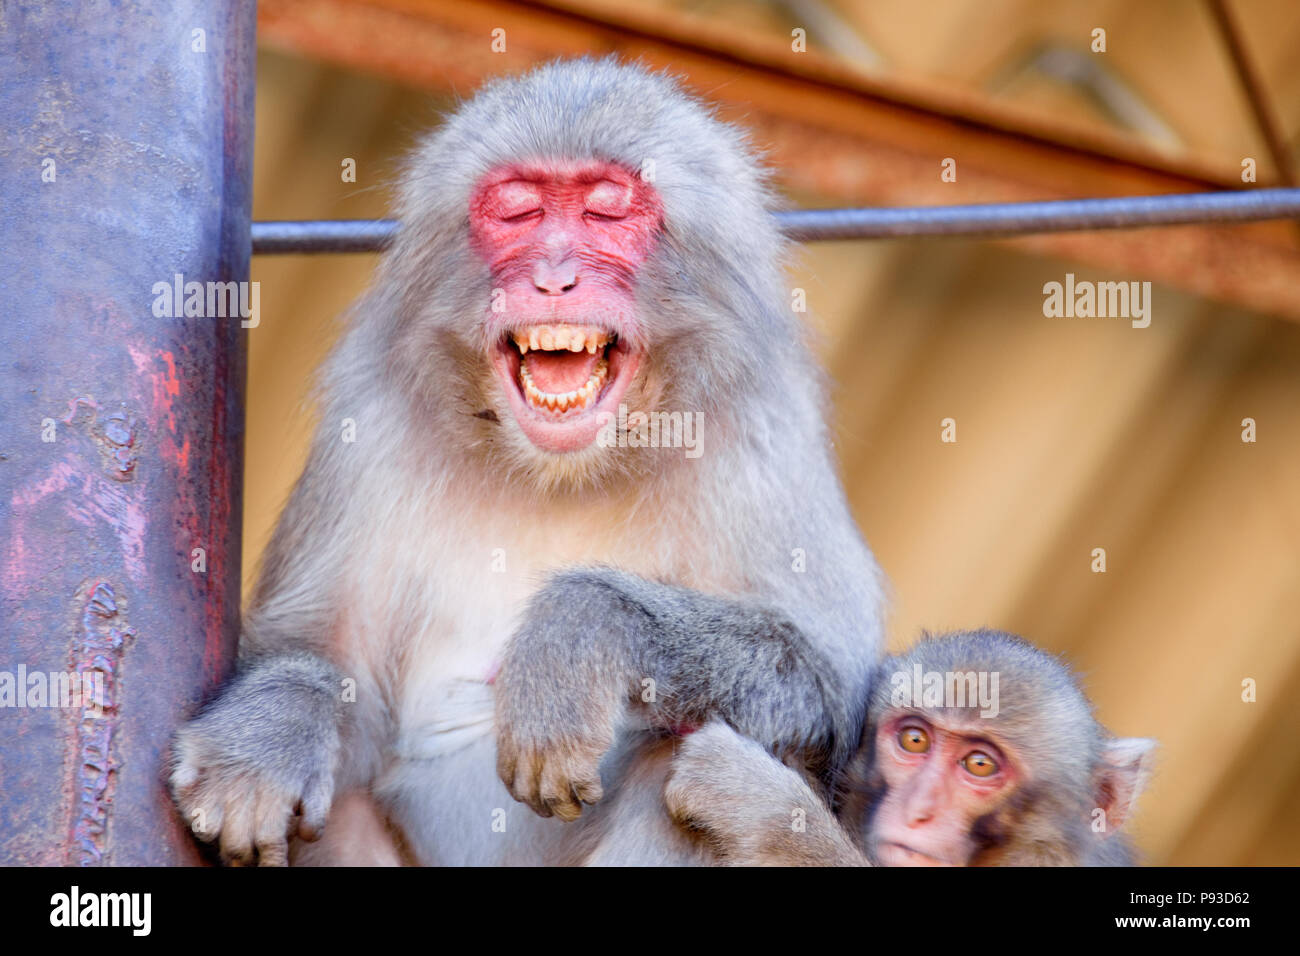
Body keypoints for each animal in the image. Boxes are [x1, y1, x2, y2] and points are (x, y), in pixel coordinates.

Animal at [169, 57, 886, 866]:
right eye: (518, 212)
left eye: (605, 213)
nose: (552, 275)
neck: (565, 471)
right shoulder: (370, 424)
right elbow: (325, 659)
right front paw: (275, 731)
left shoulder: (767, 436)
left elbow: (828, 682)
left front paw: (580, 633)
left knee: (678, 754)